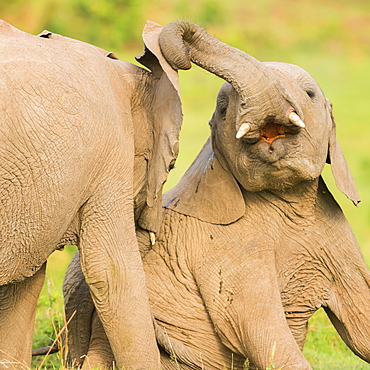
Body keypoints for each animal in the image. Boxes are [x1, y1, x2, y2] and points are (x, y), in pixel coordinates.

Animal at [62, 21, 368, 370]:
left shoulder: (335, 233)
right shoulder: (225, 249)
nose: (154, 47)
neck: (289, 198)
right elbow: (260, 330)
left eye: (310, 94)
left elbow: (360, 322)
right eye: (223, 110)